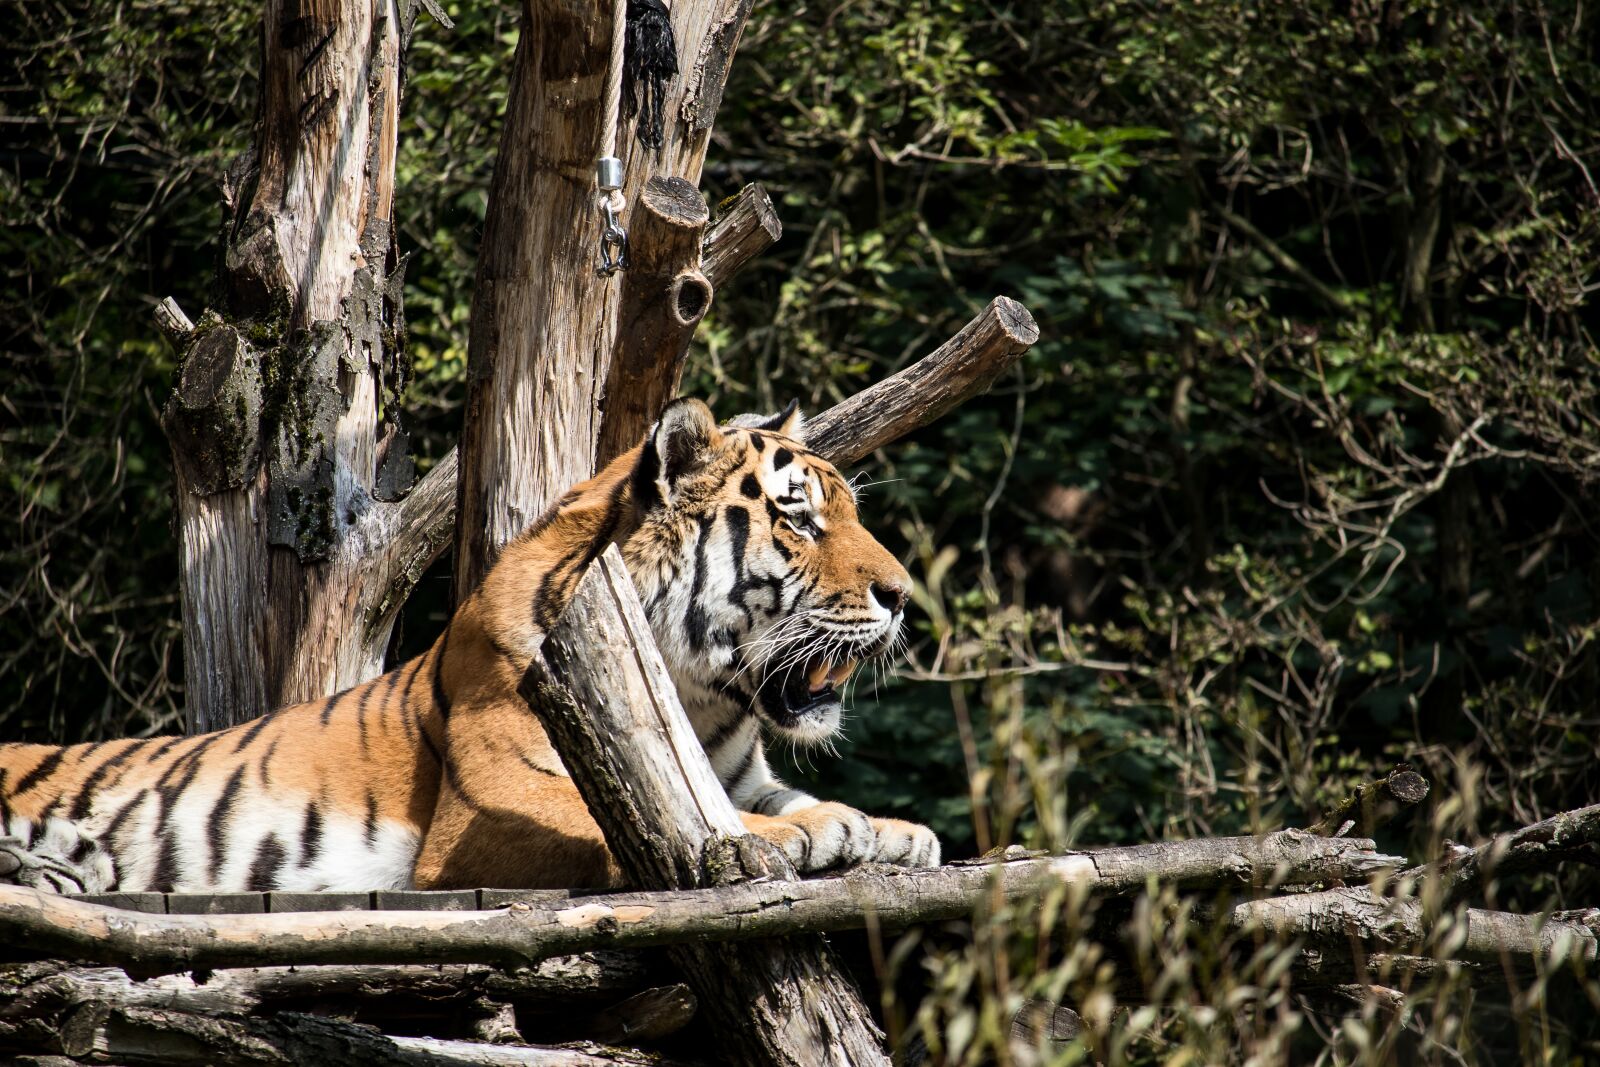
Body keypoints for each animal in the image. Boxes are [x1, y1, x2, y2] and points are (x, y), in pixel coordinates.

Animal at [0, 398, 940, 895]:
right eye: (798, 519)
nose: (902, 596)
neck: (698, 697)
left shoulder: (742, 771)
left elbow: (788, 799)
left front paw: (890, 830)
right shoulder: (485, 807)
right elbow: (675, 822)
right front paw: (804, 836)